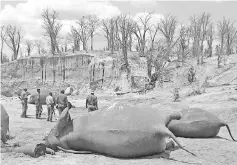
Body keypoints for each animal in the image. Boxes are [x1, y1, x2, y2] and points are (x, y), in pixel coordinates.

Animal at [45, 102, 195, 158]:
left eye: (51, 129)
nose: (43, 140)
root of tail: (158, 127)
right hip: (154, 133)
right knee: (166, 143)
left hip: (155, 116)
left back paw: (179, 116)